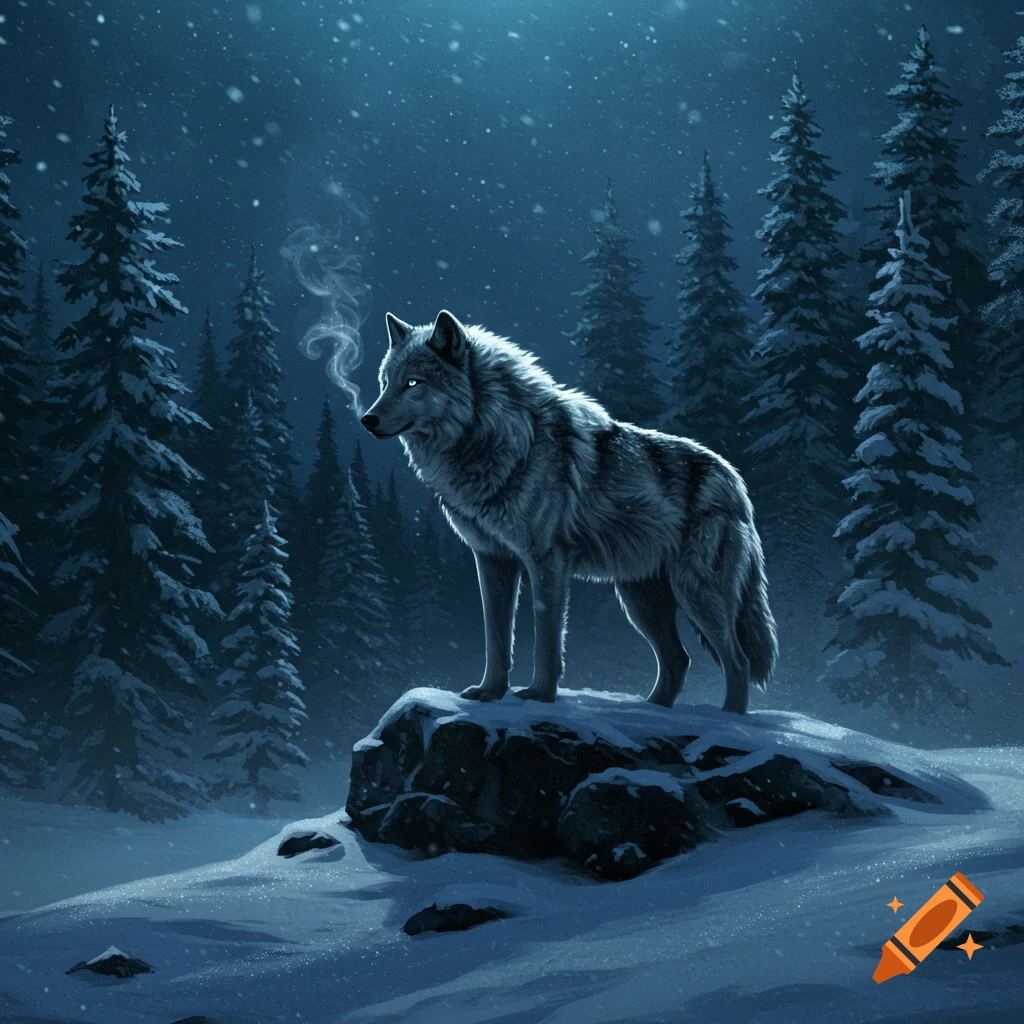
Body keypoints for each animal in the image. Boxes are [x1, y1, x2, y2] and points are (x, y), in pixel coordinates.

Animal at [360, 310, 777, 713]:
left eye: (413, 383)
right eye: (385, 382)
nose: (367, 419)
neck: (497, 437)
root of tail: (736, 483)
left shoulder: (546, 560)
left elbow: (545, 635)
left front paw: (540, 695)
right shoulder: (492, 558)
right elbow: (496, 637)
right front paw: (489, 692)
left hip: (696, 593)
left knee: (737, 661)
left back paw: (728, 718)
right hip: (640, 600)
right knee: (679, 659)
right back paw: (653, 710)